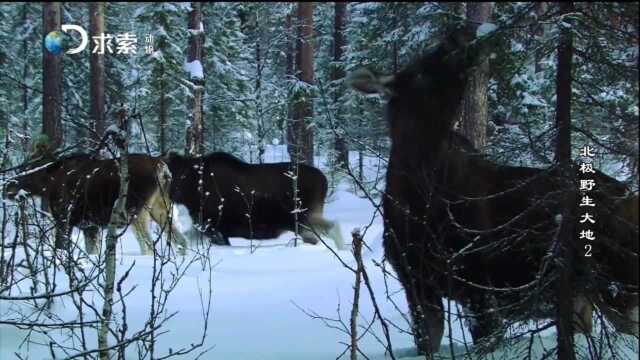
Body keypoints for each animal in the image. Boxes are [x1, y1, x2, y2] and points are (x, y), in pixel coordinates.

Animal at [3, 152, 188, 256]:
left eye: (25, 170)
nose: (7, 186)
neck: (47, 184)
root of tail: (164, 170)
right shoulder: (90, 226)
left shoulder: (64, 218)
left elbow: (60, 248)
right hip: (161, 208)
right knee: (181, 240)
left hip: (135, 210)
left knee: (149, 248)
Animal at [165, 150, 344, 249]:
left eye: (177, 174)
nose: (170, 194)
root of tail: (324, 181)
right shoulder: (207, 227)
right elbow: (186, 238)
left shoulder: (214, 227)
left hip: (303, 218)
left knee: (332, 227)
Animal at [350, 27, 640, 354]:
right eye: (421, 68)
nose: (458, 35)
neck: (420, 199)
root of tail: (629, 194)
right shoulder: (416, 284)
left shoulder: (480, 284)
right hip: (587, 292)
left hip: (619, 281)